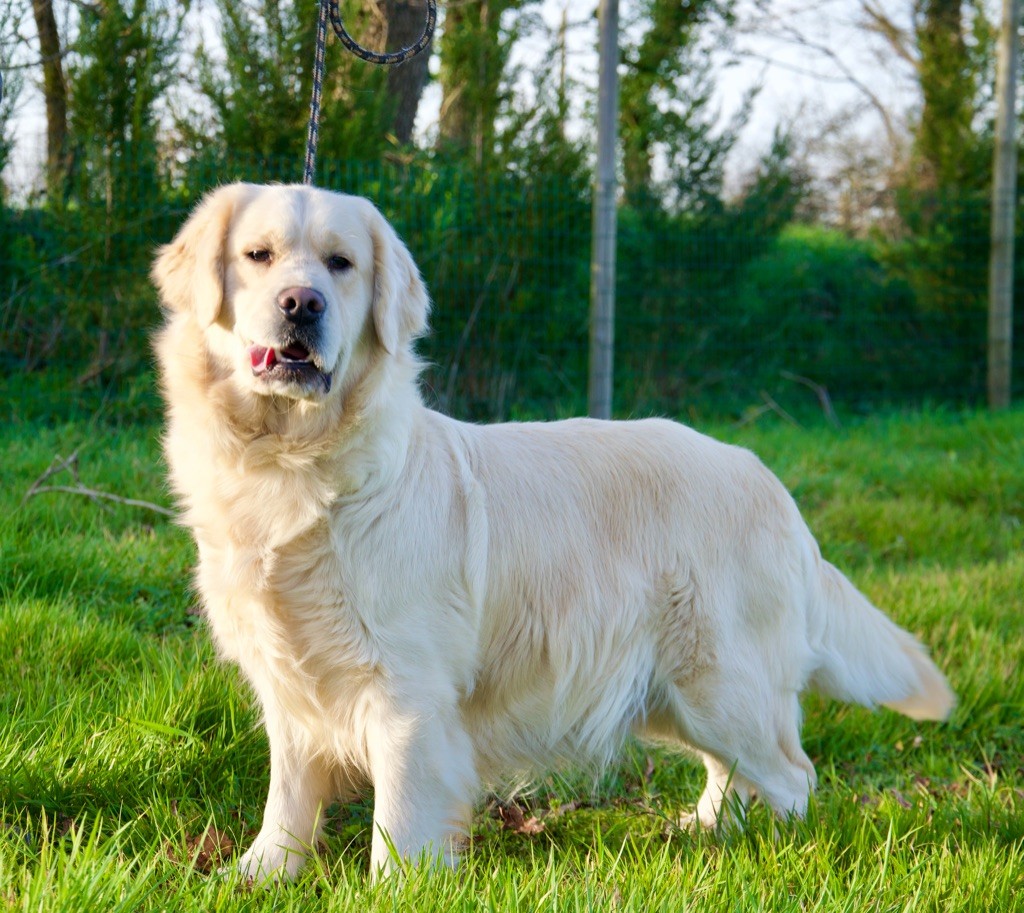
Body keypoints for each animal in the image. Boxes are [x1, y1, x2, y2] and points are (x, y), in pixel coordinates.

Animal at [149, 183, 950, 876]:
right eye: (258, 255)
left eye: (342, 264)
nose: (302, 304)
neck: (294, 461)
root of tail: (767, 480)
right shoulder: (288, 683)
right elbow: (287, 794)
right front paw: (259, 874)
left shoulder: (407, 691)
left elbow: (400, 818)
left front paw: (395, 887)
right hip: (676, 695)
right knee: (736, 770)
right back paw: (708, 828)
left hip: (721, 682)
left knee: (792, 774)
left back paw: (774, 849)